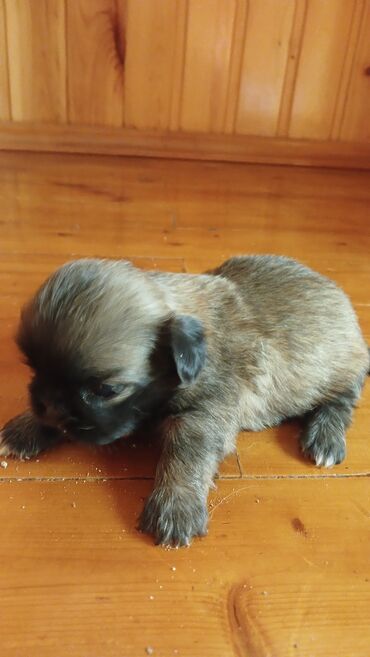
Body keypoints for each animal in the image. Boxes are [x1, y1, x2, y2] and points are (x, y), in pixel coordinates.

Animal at [0, 256, 370, 544]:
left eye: (106, 390)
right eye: (32, 365)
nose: (49, 406)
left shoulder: (204, 415)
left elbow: (186, 452)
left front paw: (175, 505)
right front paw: (26, 428)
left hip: (334, 371)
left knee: (341, 400)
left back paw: (324, 437)